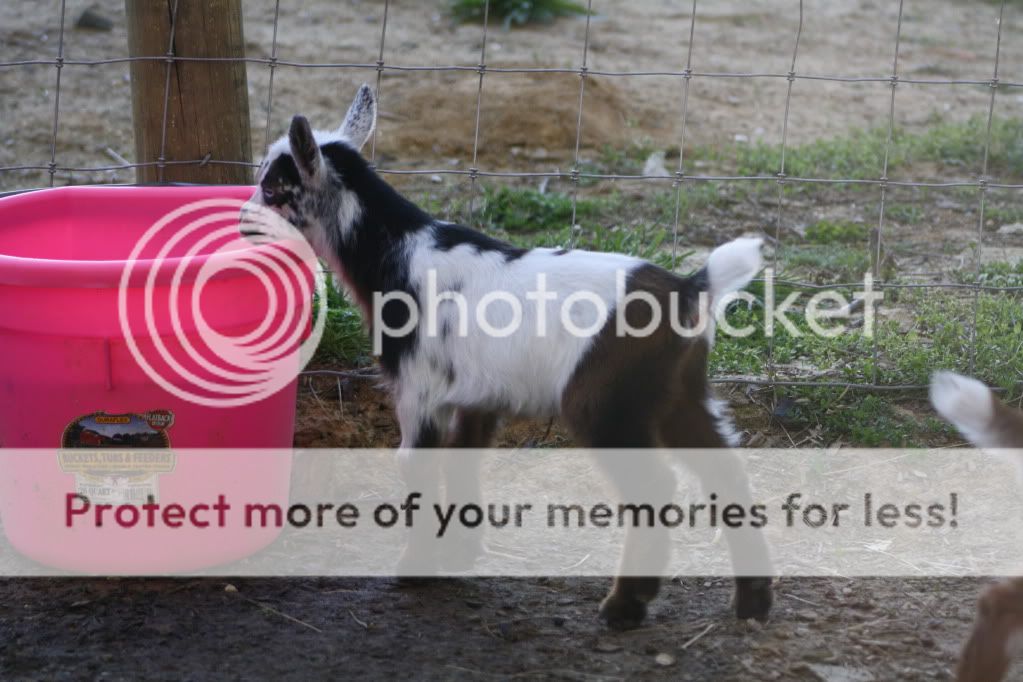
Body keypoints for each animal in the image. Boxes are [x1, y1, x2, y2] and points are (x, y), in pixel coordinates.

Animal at [243, 84, 773, 629]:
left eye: (272, 186)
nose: (242, 224)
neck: (399, 256)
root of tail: (690, 289)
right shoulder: (476, 397)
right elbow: (462, 462)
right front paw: (458, 554)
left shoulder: (418, 390)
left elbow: (418, 468)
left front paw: (414, 569)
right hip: (680, 391)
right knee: (726, 470)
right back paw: (752, 601)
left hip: (607, 401)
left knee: (655, 487)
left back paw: (627, 605)